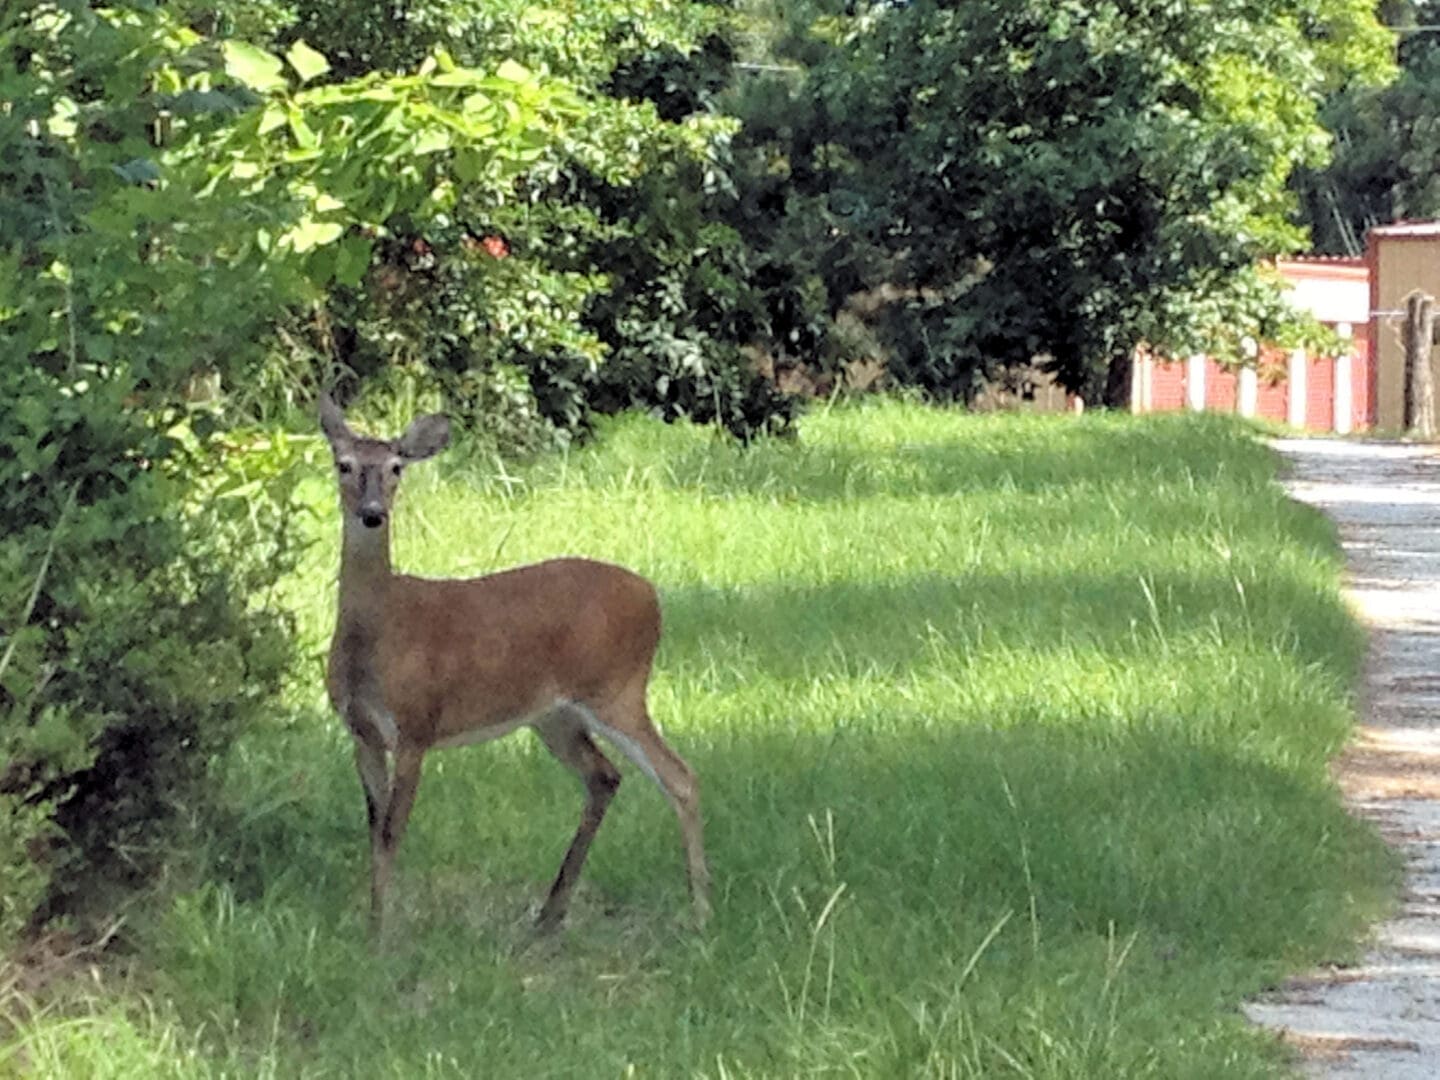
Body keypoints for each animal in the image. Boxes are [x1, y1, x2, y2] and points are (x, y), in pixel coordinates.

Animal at [318, 395, 710, 936]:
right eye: (344, 464)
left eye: (396, 467)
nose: (373, 513)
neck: (380, 632)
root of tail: (652, 596)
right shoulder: (362, 732)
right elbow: (374, 831)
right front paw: (371, 927)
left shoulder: (418, 724)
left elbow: (394, 831)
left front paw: (385, 934)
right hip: (554, 715)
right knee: (605, 777)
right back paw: (550, 913)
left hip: (616, 689)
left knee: (681, 778)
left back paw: (701, 913)